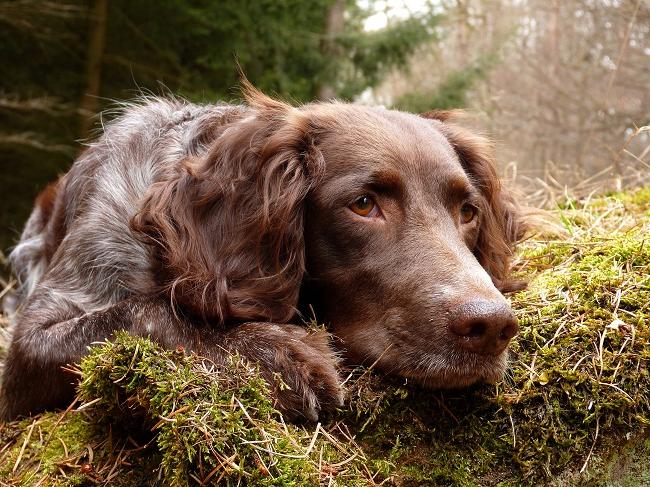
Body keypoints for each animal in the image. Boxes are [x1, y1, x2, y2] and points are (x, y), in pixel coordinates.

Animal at [0, 86, 520, 422]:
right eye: (363, 204)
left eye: (468, 211)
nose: (492, 325)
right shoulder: (29, 343)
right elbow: (139, 312)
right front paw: (277, 354)